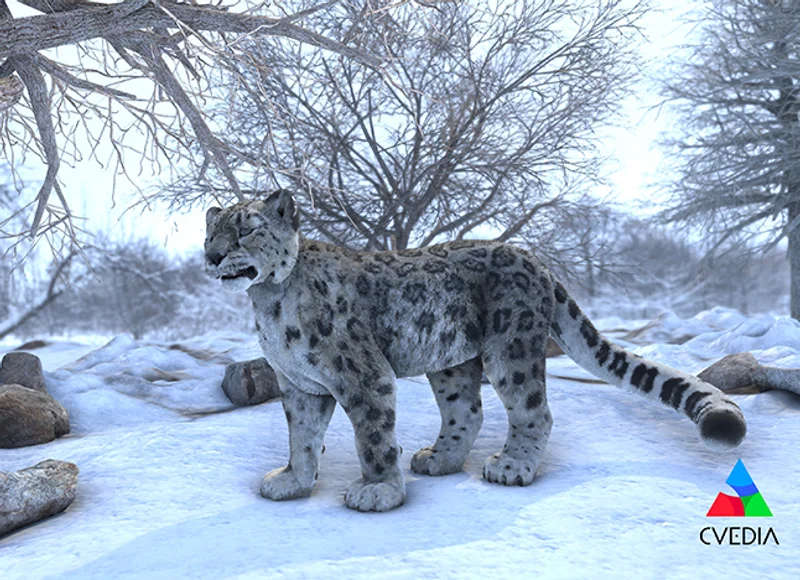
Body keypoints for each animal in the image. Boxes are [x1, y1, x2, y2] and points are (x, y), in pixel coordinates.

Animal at [204, 190, 747, 512]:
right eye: (212, 231)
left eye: (248, 228)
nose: (212, 255)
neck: (269, 303)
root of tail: (534, 259)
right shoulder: (300, 385)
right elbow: (301, 437)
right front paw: (292, 482)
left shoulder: (362, 376)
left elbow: (373, 437)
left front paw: (378, 490)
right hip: (452, 362)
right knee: (466, 410)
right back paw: (438, 460)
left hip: (511, 347)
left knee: (533, 410)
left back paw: (512, 468)